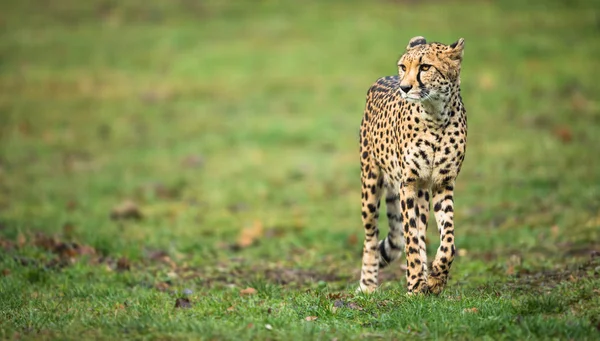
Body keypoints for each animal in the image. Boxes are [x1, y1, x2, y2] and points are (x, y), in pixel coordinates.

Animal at [358, 35, 466, 294]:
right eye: (403, 67)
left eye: (425, 67)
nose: (404, 87)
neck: (436, 116)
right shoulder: (407, 183)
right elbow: (410, 239)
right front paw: (416, 284)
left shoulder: (442, 183)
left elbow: (448, 239)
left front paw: (436, 278)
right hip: (370, 182)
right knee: (371, 237)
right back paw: (368, 284)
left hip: (422, 193)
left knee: (420, 229)